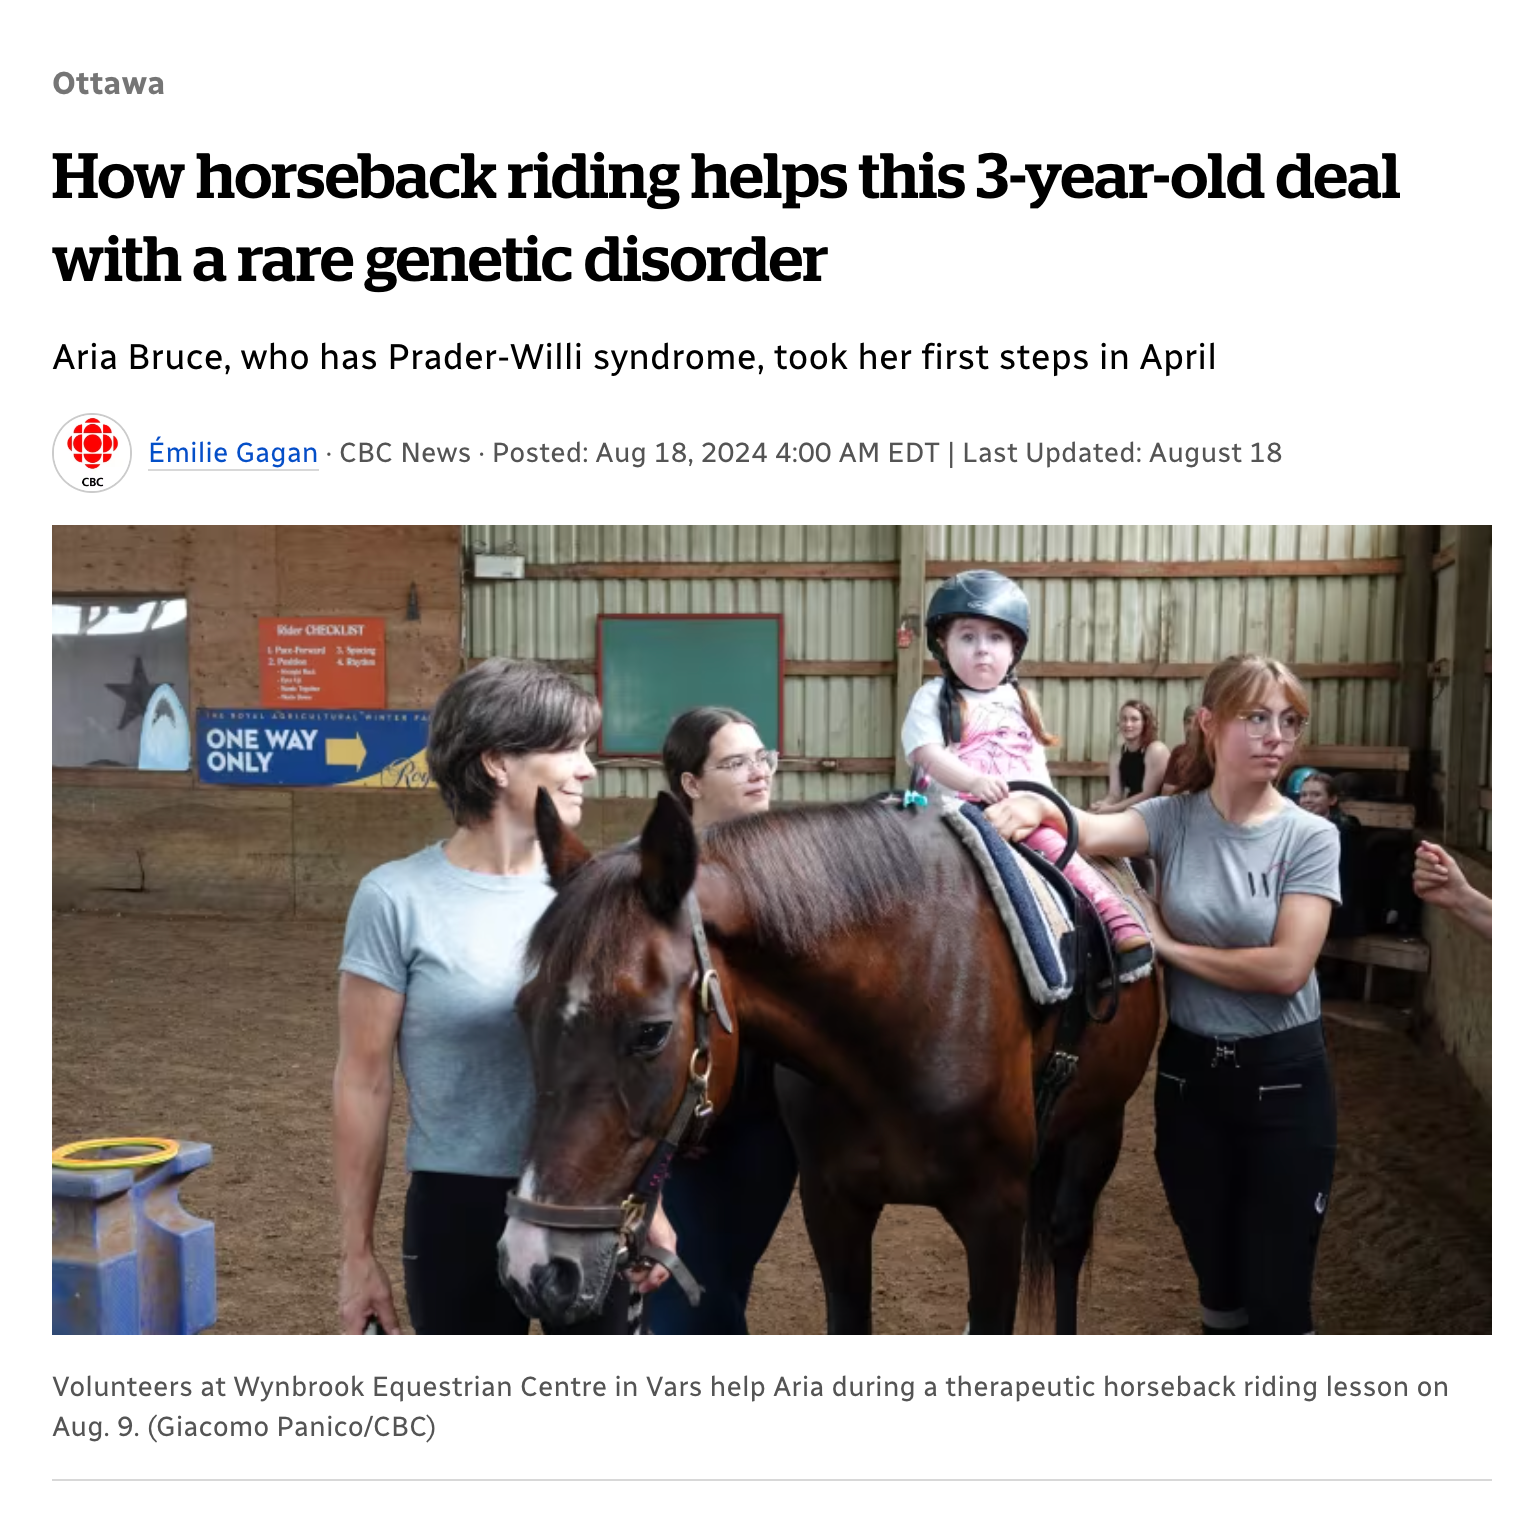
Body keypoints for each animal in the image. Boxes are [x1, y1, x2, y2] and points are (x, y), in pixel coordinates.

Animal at [497, 791, 1153, 1337]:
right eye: (523, 1013)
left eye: (651, 1033)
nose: (534, 1266)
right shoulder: (832, 1206)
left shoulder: (997, 1215)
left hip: (1099, 1128)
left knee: (1067, 1242)